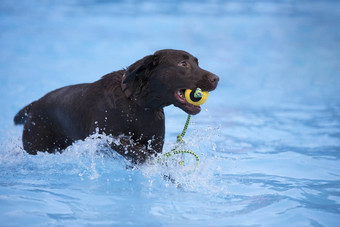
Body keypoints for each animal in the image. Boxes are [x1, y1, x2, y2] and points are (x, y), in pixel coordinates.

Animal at [13, 49, 218, 163]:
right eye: (183, 64)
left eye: (196, 62)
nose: (216, 78)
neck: (138, 106)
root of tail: (34, 105)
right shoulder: (105, 136)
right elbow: (131, 147)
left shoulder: (154, 143)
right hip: (37, 144)